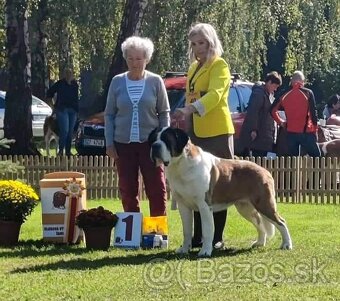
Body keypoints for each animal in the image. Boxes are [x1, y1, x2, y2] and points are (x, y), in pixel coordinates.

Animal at [149, 126, 292, 255]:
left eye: (167, 139)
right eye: (153, 139)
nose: (155, 146)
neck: (180, 164)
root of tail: (264, 170)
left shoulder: (204, 206)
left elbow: (207, 230)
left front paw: (205, 251)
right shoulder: (183, 206)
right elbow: (187, 231)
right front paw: (184, 250)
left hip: (264, 204)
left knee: (281, 222)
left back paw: (287, 245)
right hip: (246, 208)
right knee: (259, 222)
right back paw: (260, 243)